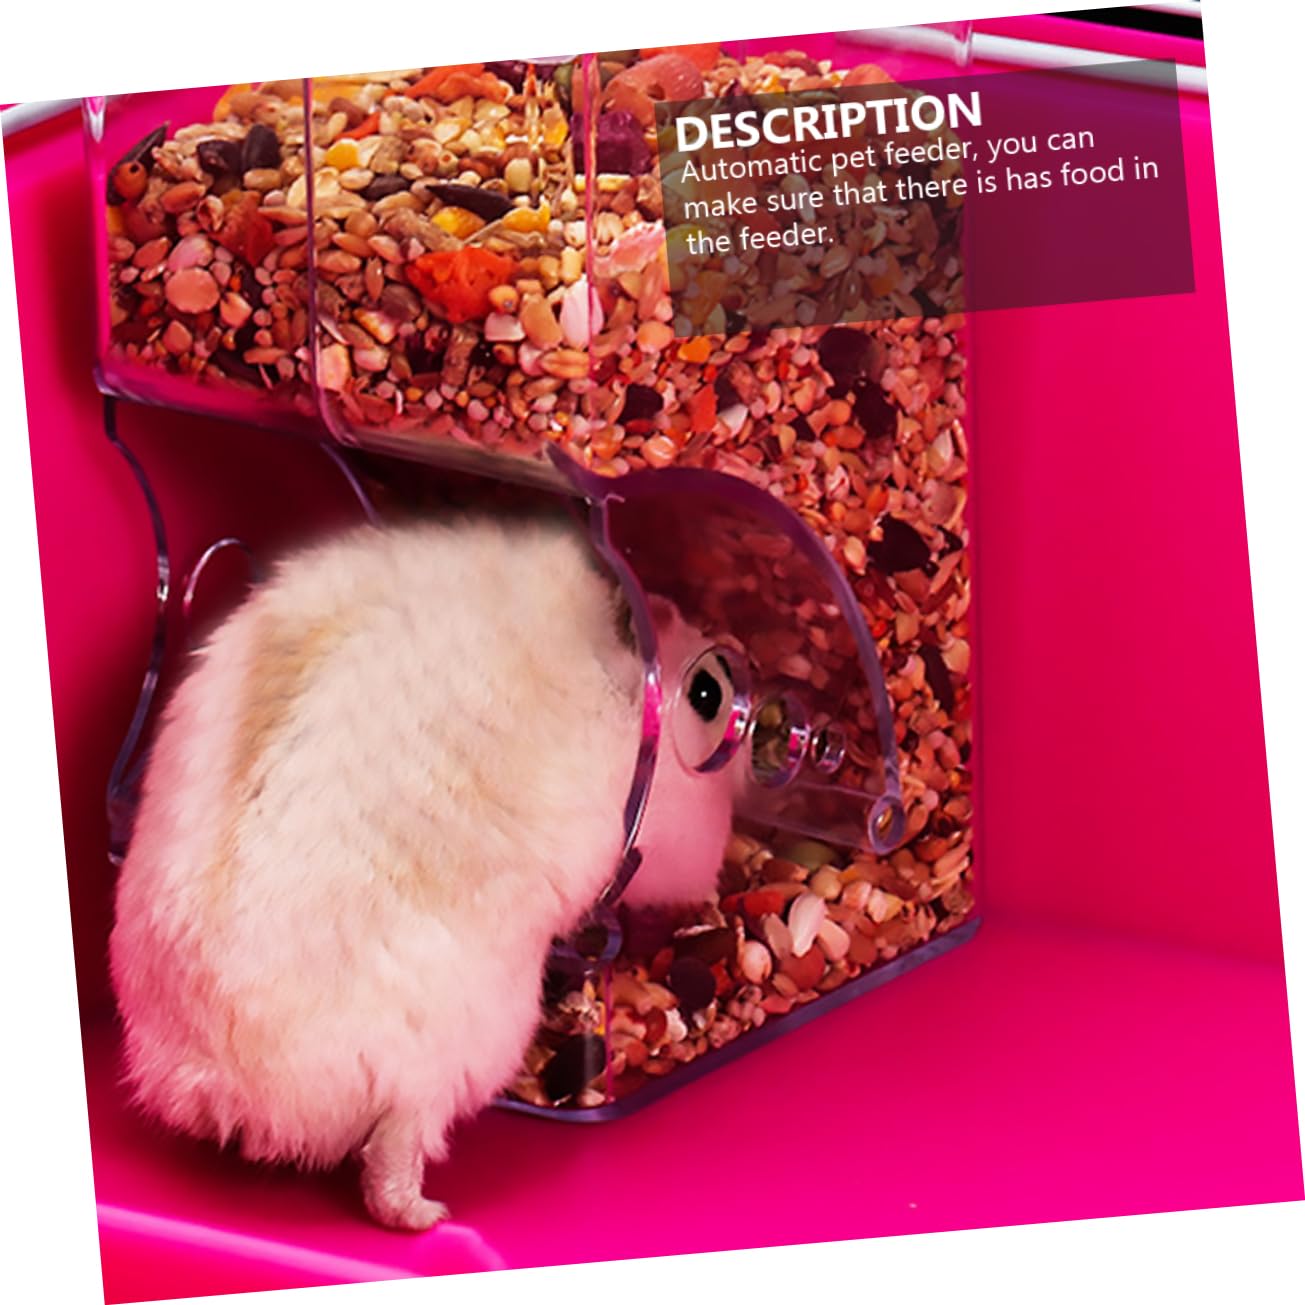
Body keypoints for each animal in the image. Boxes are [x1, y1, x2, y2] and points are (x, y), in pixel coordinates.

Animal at [109, 510, 742, 1231]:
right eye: (708, 690)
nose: (745, 674)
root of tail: (224, 1081)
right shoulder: (674, 835)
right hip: (454, 1053)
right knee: (391, 1160)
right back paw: (430, 1214)